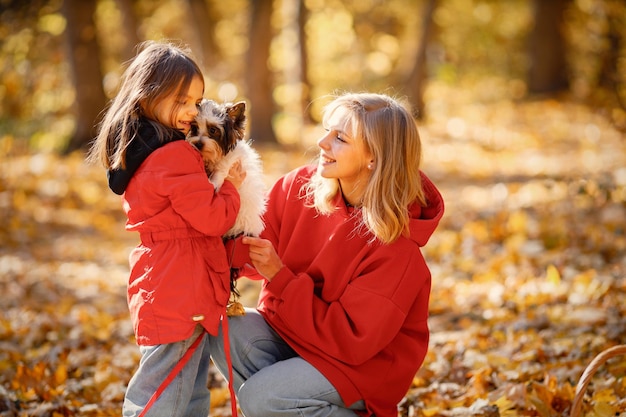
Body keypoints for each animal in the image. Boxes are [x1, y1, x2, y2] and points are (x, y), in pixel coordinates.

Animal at [184, 98, 264, 239]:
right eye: (194, 127)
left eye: (213, 130)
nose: (198, 144)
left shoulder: (232, 159)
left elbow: (221, 168)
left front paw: (213, 182)